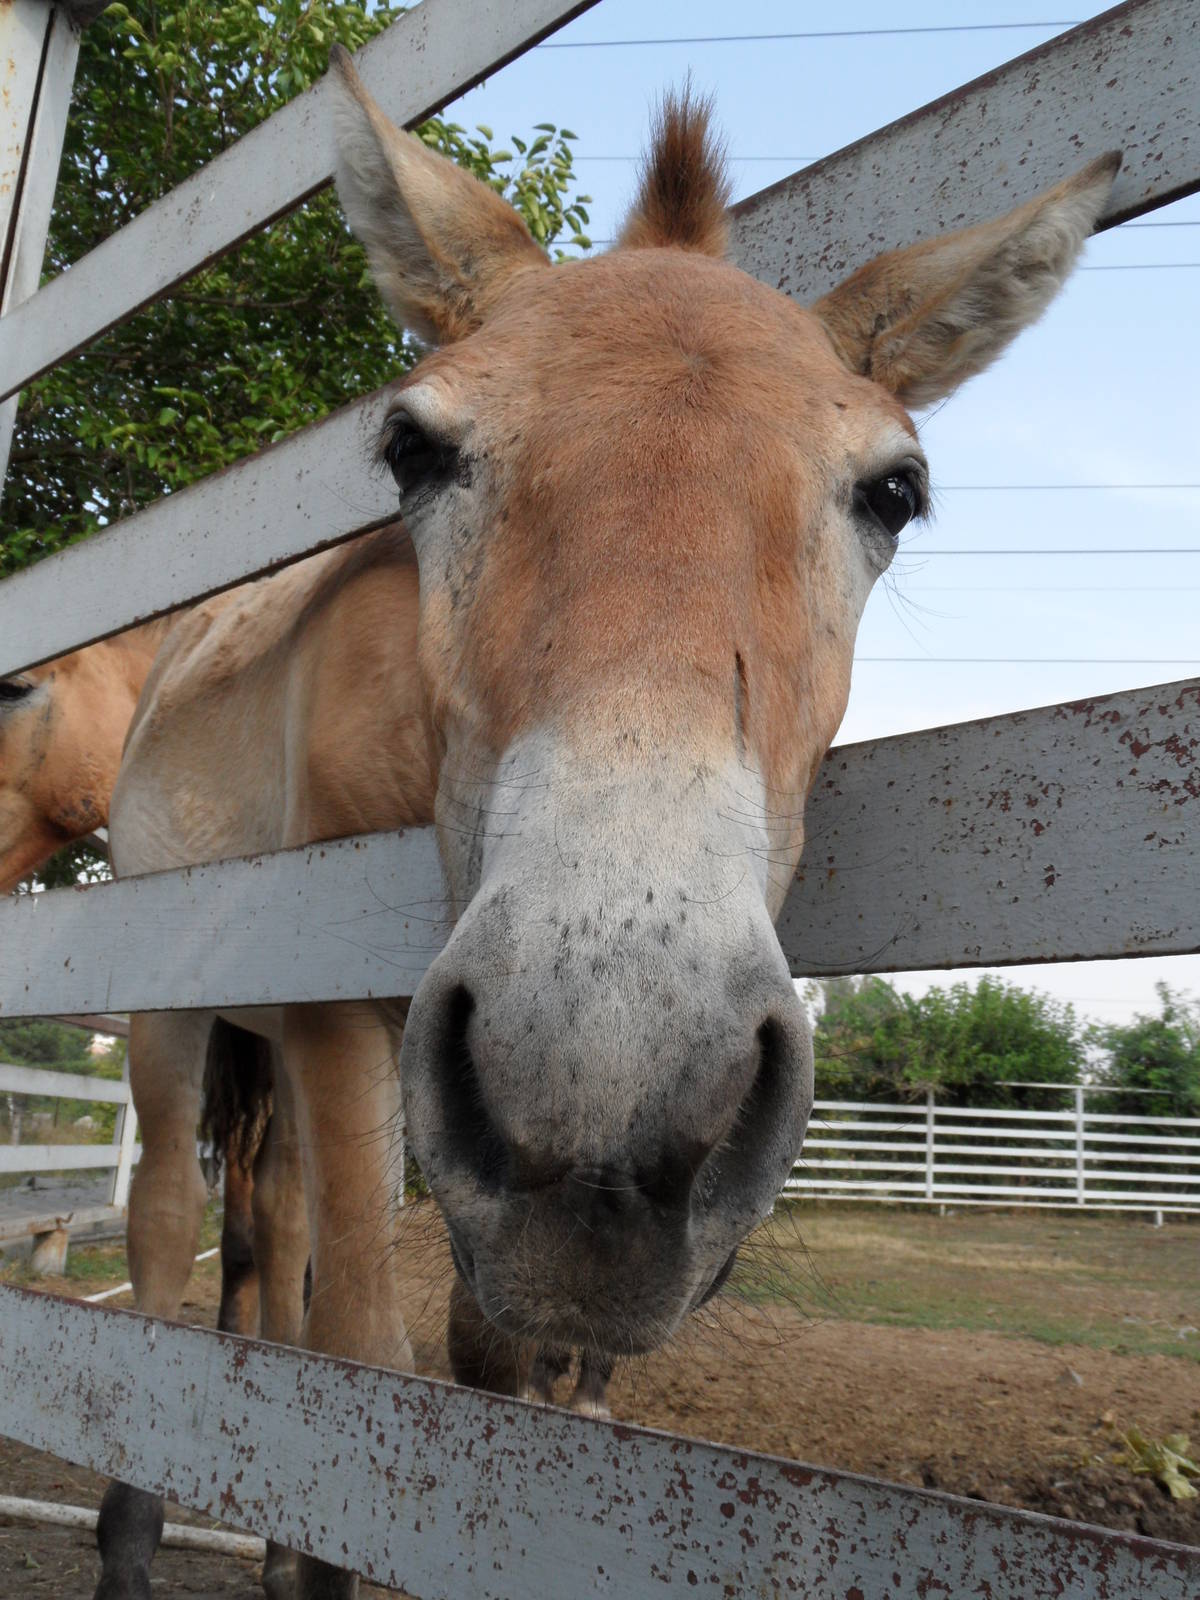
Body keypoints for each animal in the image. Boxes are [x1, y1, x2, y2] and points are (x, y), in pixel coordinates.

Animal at [95, 43, 1118, 1599]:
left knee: (268, 1238)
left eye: (897, 490)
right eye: (413, 450)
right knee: (164, 1230)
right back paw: (132, 1533)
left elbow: (488, 1368)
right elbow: (367, 1356)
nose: (608, 1091)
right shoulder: (338, 1021)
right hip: (171, 1013)